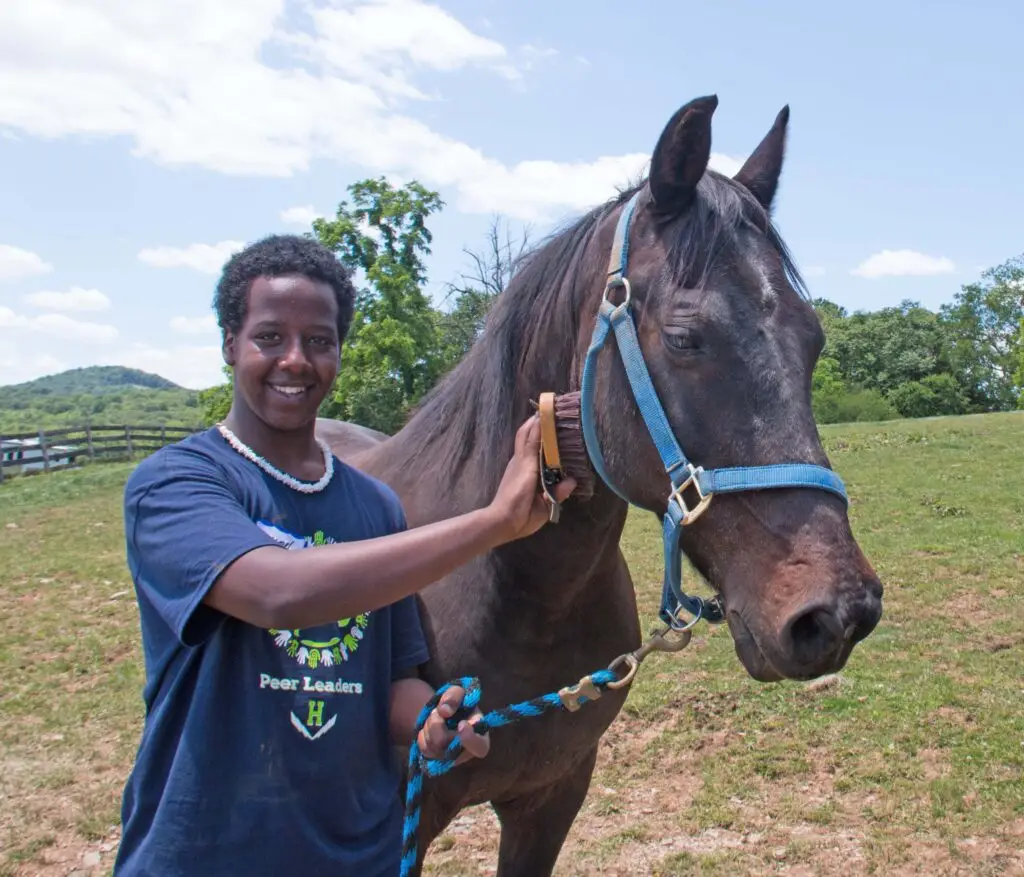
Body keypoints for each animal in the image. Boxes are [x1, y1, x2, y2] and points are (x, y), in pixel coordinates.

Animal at [316, 94, 884, 876]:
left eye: (815, 340)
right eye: (683, 338)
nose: (838, 613)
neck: (522, 595)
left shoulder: (554, 795)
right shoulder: (401, 825)